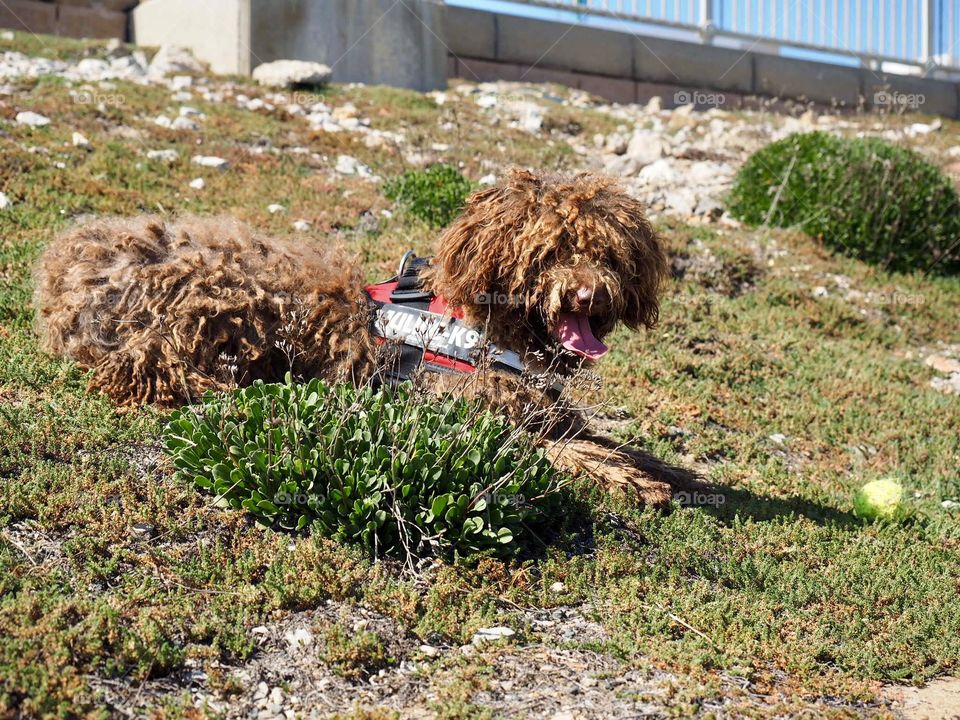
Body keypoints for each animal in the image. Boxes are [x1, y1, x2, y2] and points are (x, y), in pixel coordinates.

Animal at [35, 169, 696, 506]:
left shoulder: (539, 408)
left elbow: (607, 441)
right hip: (212, 310)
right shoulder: (464, 415)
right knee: (145, 374)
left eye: (607, 254)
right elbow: (560, 451)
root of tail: (70, 270)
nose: (589, 295)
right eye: (550, 251)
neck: (484, 327)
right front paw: (630, 480)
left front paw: (675, 474)